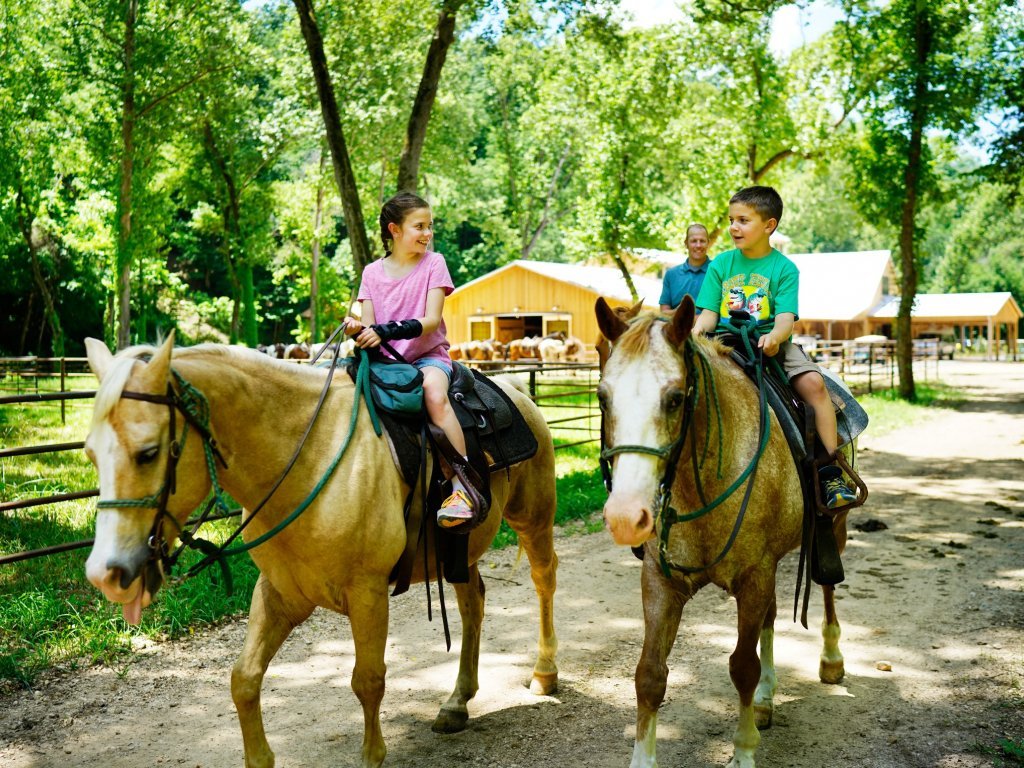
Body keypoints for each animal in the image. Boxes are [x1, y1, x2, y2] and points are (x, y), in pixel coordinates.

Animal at [80, 335, 561, 768]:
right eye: (90, 454)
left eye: (148, 453)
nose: (106, 574)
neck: (309, 459)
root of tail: (518, 392)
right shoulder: (279, 593)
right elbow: (244, 679)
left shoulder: (367, 594)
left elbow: (368, 680)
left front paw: (372, 756)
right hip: (458, 552)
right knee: (472, 604)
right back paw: (457, 702)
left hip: (533, 521)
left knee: (544, 580)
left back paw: (544, 673)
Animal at [593, 299, 847, 768]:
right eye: (603, 397)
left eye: (675, 398)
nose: (625, 516)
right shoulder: (661, 580)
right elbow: (649, 674)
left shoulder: (754, 576)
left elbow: (742, 667)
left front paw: (743, 752)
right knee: (771, 616)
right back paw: (766, 699)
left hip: (832, 530)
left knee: (826, 589)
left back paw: (832, 660)